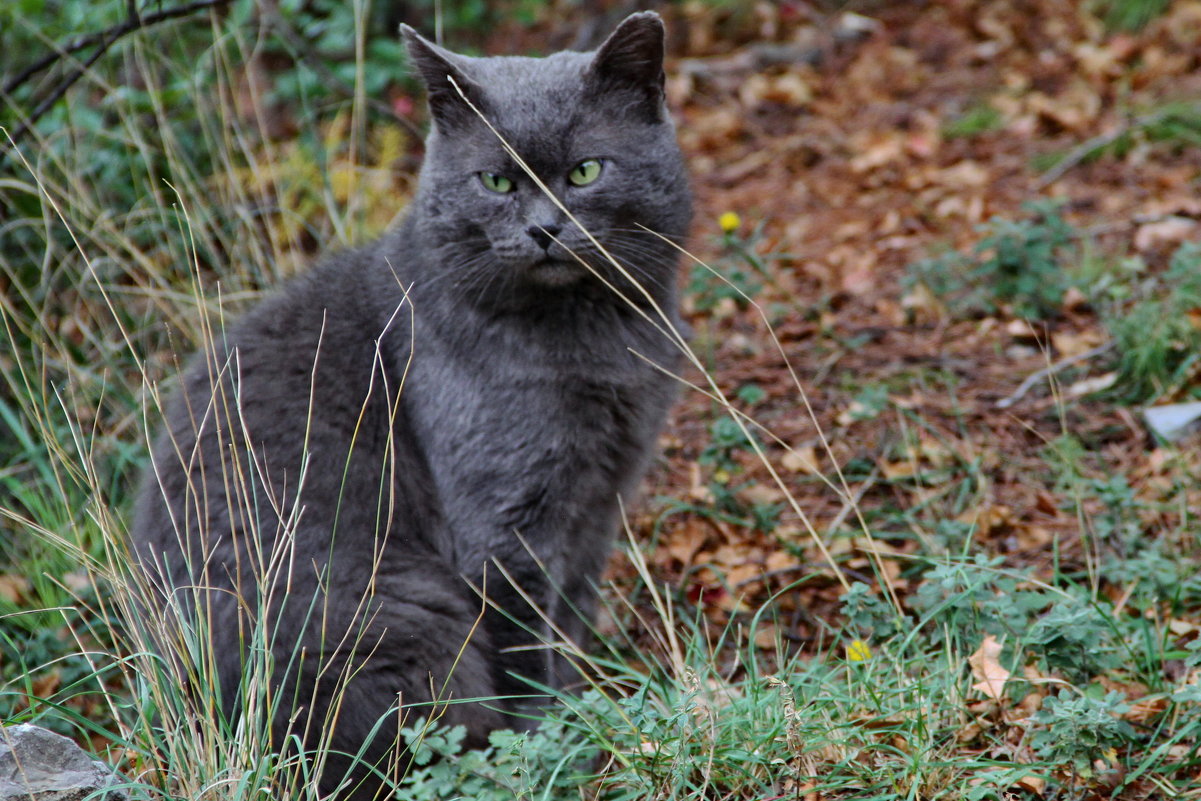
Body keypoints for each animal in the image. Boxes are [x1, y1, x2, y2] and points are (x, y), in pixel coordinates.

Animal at [127, 9, 691, 797]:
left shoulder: (595, 503)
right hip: (398, 616)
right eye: (495, 180)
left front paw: (583, 709)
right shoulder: (503, 524)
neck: (587, 336)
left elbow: (573, 619)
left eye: (585, 170)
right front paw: (556, 744)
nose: (544, 229)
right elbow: (528, 649)